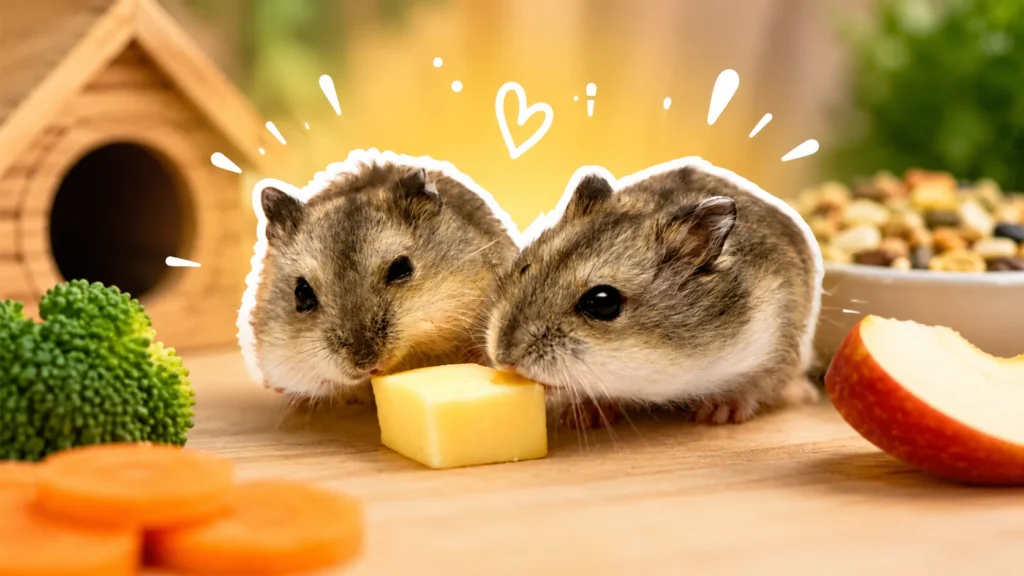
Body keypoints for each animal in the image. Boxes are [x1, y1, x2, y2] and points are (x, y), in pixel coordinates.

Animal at [486, 159, 824, 426]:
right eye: (525, 268)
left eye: (603, 303)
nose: (504, 359)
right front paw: (582, 414)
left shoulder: (776, 342)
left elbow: (756, 385)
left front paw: (716, 413)